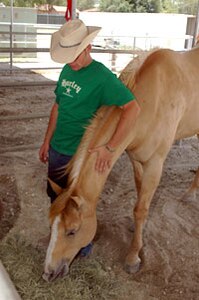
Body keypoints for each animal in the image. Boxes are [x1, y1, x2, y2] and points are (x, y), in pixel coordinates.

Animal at [42, 46, 199, 282]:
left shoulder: (155, 164)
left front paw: (133, 258)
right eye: (52, 225)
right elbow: (139, 200)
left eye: (72, 231)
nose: (48, 273)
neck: (151, 103)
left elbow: (141, 209)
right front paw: (136, 231)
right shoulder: (136, 160)